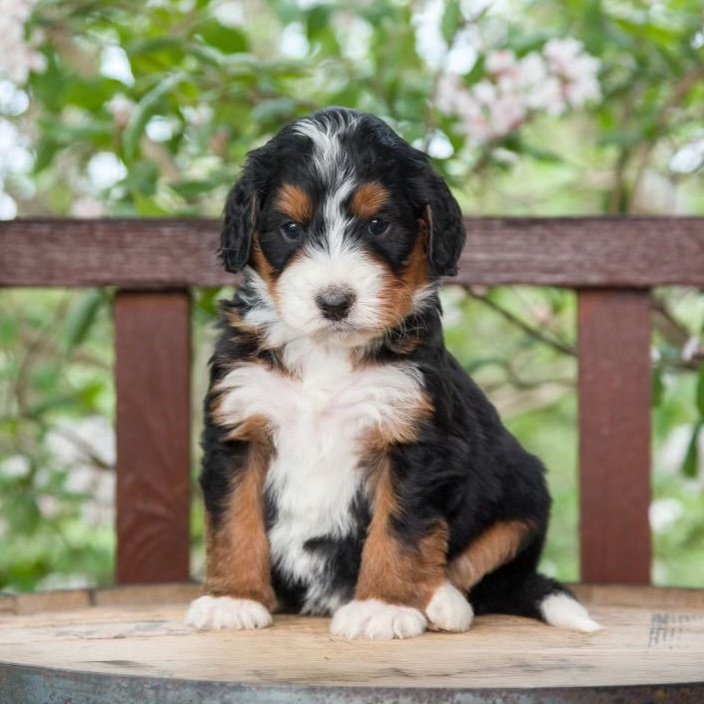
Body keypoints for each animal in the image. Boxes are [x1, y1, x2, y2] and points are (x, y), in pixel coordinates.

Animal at [184, 108, 596, 640]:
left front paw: (383, 605)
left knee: (480, 570)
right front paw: (232, 598)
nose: (334, 302)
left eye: (379, 224)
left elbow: (400, 530)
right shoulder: (239, 427)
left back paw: (442, 601)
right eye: (291, 228)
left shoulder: (414, 441)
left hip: (522, 496)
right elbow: (235, 520)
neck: (327, 356)